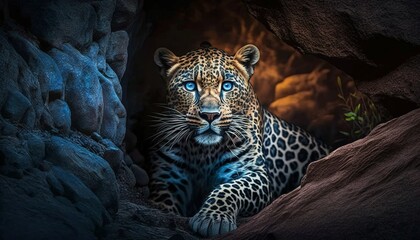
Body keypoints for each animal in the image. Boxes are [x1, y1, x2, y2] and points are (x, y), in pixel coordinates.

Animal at [149, 42, 330, 236]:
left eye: (227, 86)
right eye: (189, 86)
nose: (210, 115)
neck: (203, 152)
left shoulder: (253, 172)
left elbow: (229, 189)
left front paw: (212, 219)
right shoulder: (167, 177)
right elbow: (163, 201)